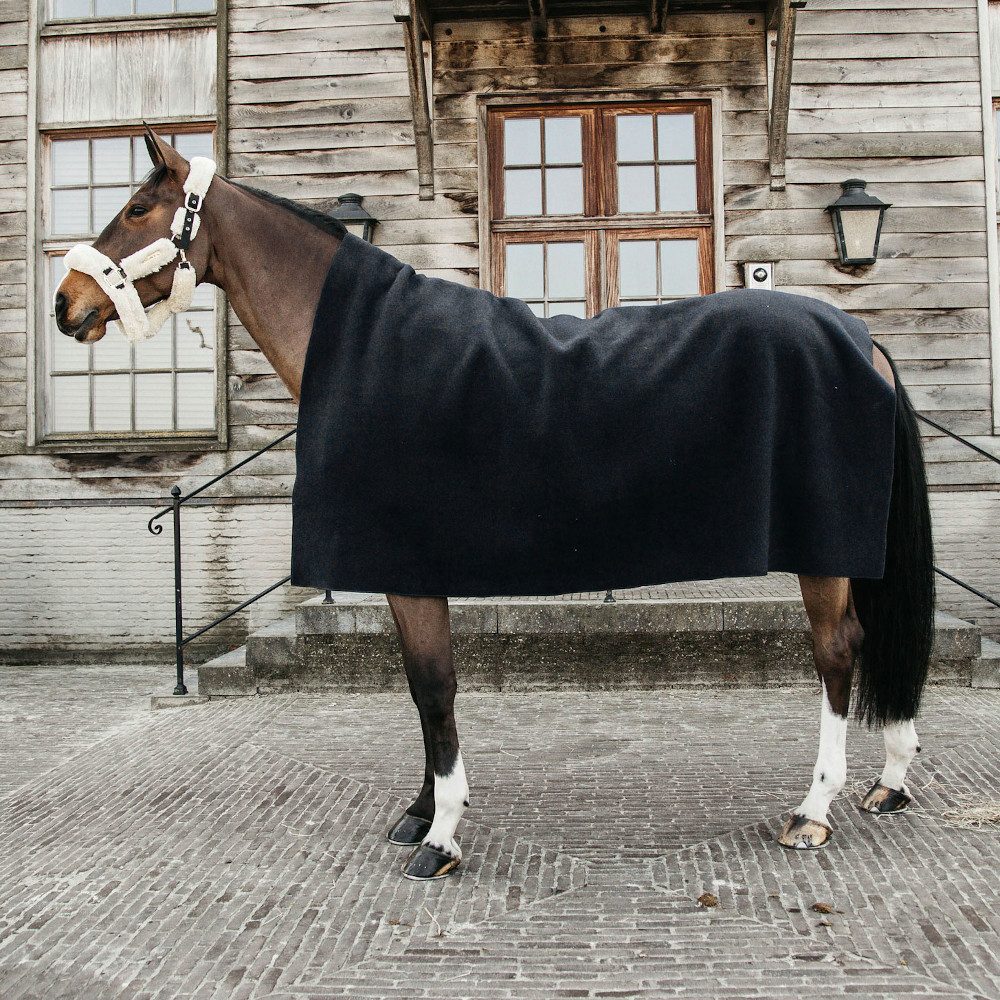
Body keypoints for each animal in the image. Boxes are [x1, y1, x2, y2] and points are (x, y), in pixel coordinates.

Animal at [55, 128, 935, 881]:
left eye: (136, 211)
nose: (67, 302)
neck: (365, 348)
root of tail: (859, 338)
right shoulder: (408, 574)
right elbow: (422, 693)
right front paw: (420, 810)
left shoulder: (411, 572)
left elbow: (434, 688)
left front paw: (440, 834)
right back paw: (889, 782)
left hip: (823, 558)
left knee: (837, 654)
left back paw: (813, 810)